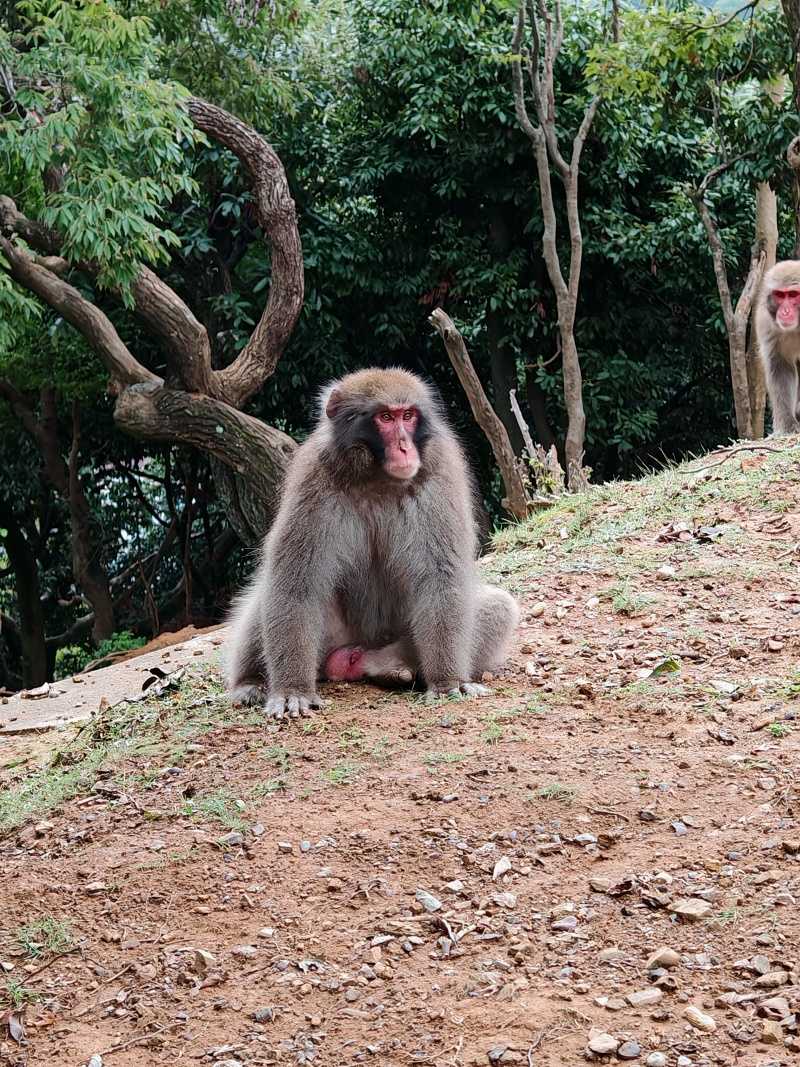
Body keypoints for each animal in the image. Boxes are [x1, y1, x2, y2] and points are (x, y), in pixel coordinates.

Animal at [224, 367, 519, 719]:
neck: (378, 478)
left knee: (498, 607)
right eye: (385, 418)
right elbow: (296, 583)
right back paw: (251, 682)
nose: (405, 446)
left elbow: (441, 578)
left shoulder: (439, 472)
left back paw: (389, 667)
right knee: (269, 596)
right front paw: (291, 690)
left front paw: (447, 681)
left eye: (408, 416)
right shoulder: (314, 475)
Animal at [756, 260, 800, 435]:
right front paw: (788, 425)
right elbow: (781, 366)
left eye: (793, 294)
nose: (785, 311)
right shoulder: (766, 323)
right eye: (780, 295)